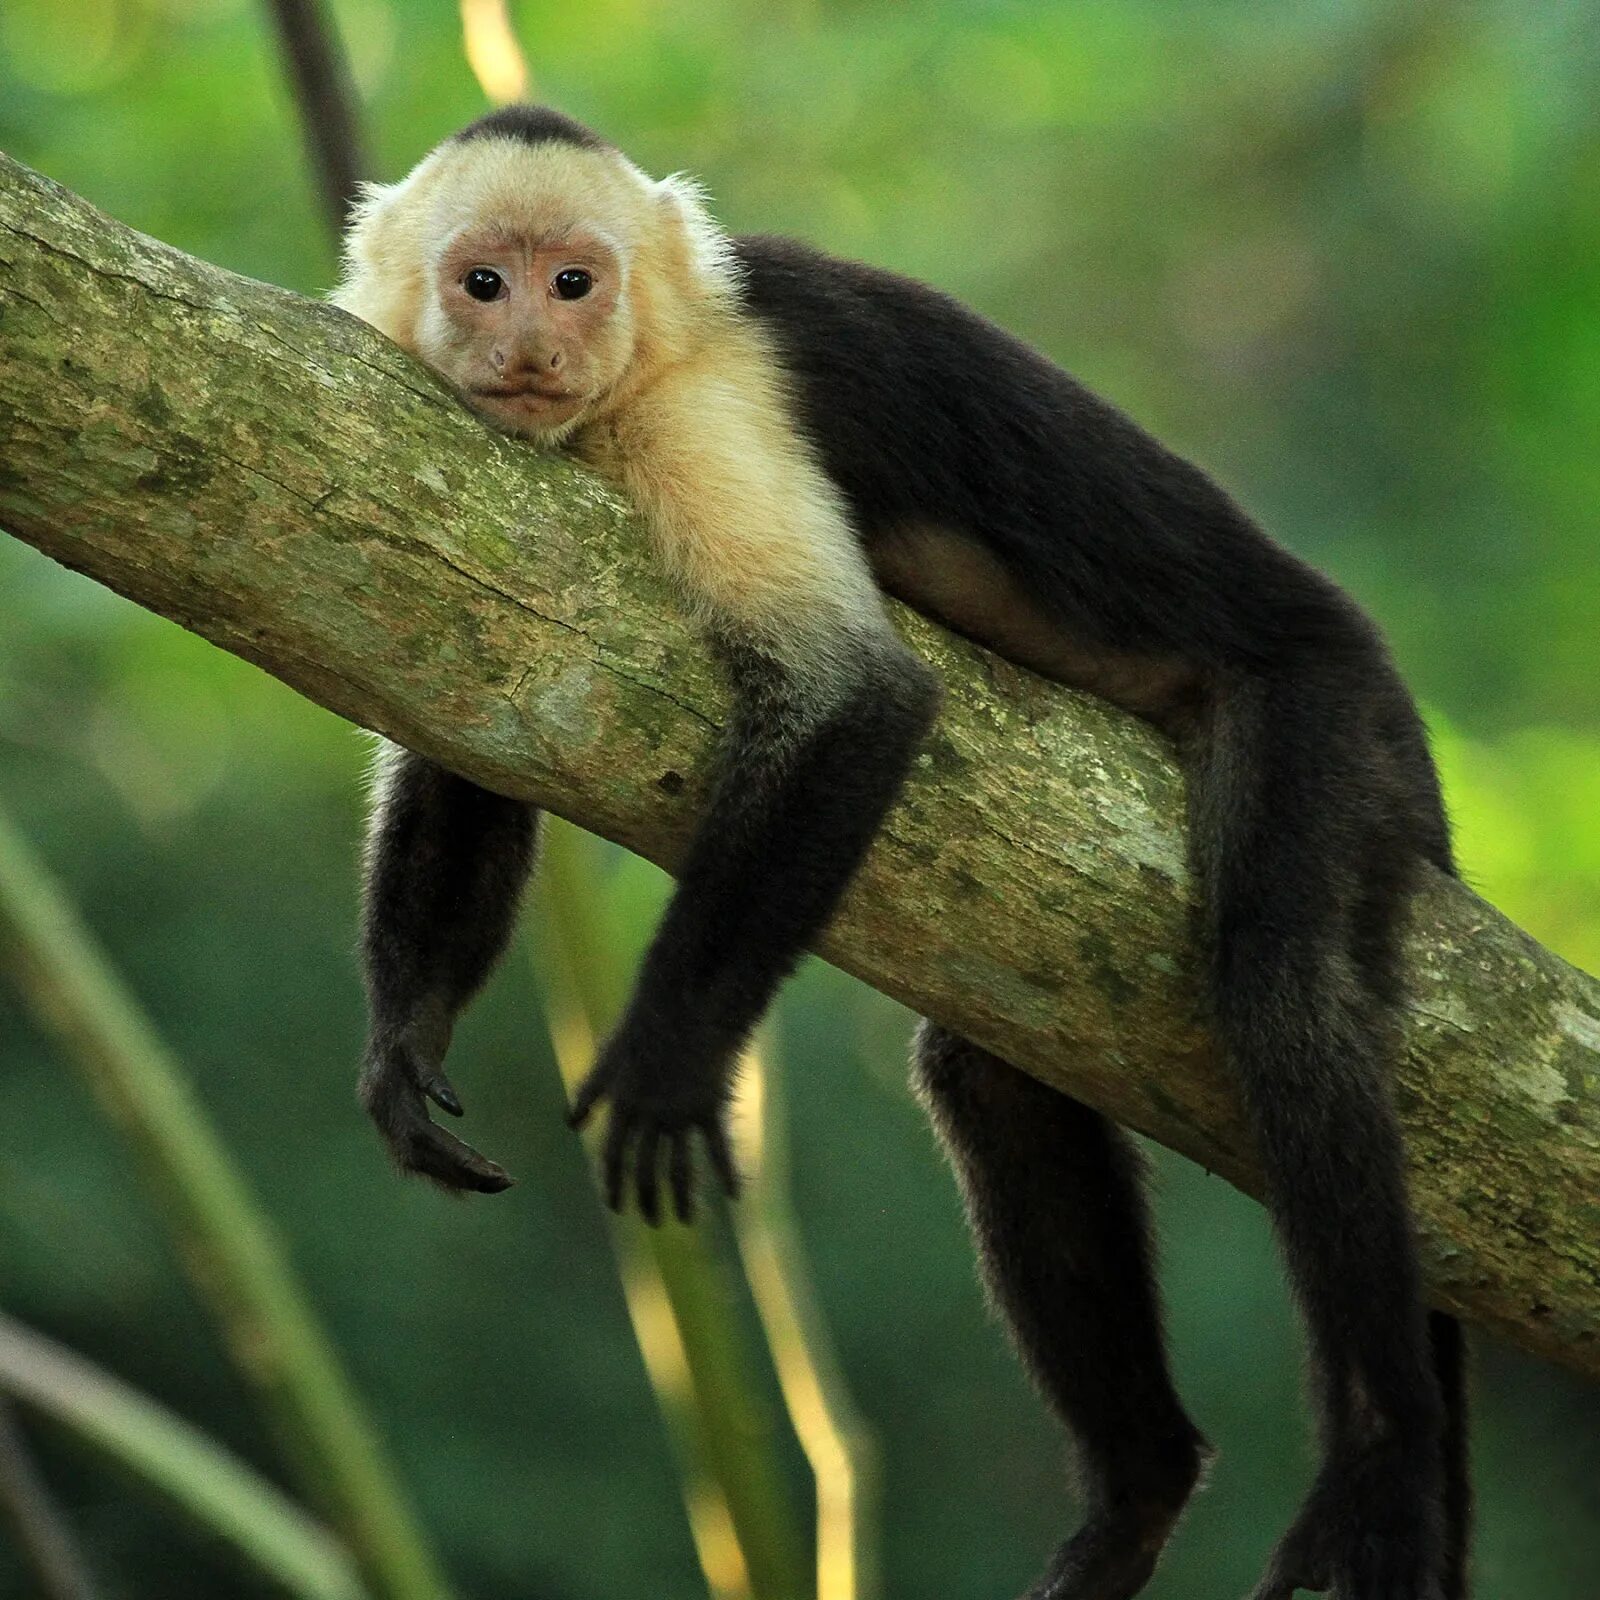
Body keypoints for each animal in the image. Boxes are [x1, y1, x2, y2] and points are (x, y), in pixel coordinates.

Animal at [331, 109, 1465, 1600]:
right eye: (483, 284)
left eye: (574, 283)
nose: (531, 346)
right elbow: (467, 720)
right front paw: (407, 1034)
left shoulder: (710, 406)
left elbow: (855, 699)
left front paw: (668, 1061)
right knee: (990, 1075)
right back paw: (1144, 1487)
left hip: (1337, 718)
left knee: (1283, 995)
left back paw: (1381, 1463)